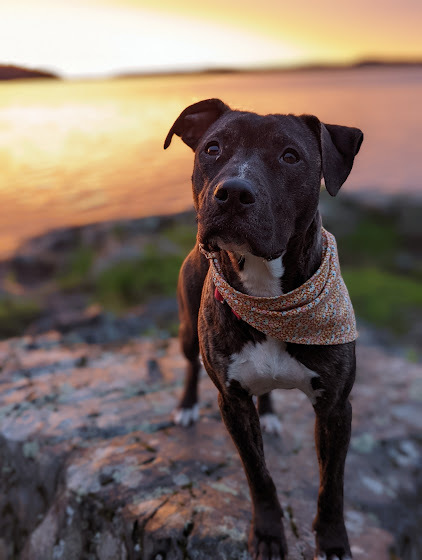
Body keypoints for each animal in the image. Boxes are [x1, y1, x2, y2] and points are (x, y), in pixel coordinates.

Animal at [164, 99, 362, 560]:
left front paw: (332, 541)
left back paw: (270, 413)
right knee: (189, 364)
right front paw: (270, 534)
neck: (268, 297)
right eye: (213, 148)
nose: (233, 192)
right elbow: (259, 475)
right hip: (187, 330)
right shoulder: (232, 403)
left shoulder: (336, 409)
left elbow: (332, 486)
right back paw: (187, 406)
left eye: (290, 156)